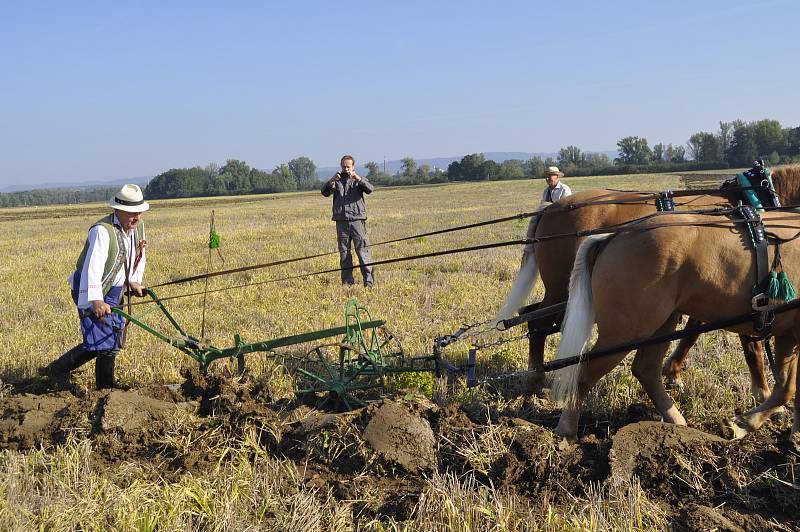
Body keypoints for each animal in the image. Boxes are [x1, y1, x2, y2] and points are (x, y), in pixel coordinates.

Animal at [494, 166, 800, 400]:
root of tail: (549, 209)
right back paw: (536, 379)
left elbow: (692, 333)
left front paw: (673, 372)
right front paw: (762, 390)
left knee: (532, 316)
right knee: (537, 323)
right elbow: (747, 342)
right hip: (561, 288)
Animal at [548, 209, 800, 440]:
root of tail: (616, 235)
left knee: (646, 369)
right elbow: (783, 388)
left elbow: (787, 388)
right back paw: (567, 429)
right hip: (625, 333)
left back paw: (674, 420)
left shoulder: (790, 336)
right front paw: (743, 423)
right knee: (583, 375)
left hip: (661, 323)